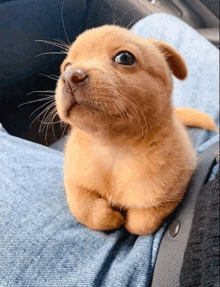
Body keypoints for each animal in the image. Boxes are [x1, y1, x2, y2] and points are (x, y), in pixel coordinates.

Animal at [55, 25, 217, 236]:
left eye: (125, 58)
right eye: (66, 66)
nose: (69, 76)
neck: (113, 149)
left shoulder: (173, 193)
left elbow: (141, 223)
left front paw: (126, 219)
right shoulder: (73, 180)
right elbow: (84, 208)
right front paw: (110, 218)